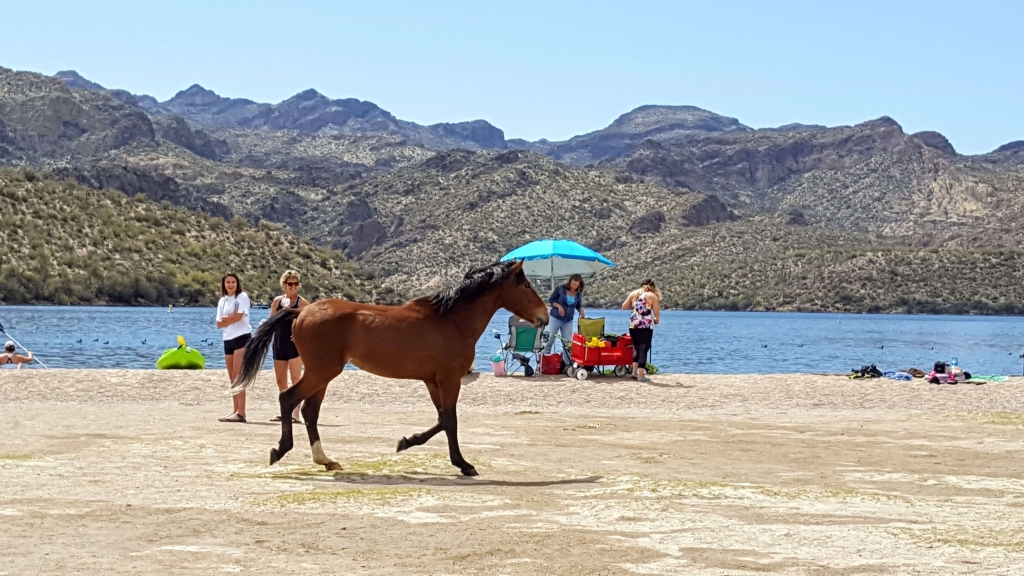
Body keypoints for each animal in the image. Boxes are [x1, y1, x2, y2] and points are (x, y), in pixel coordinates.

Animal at [231, 260, 549, 476]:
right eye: (526, 285)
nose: (544, 317)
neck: (450, 320)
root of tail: (301, 310)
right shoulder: (449, 380)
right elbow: (450, 421)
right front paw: (463, 464)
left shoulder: (433, 381)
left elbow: (441, 419)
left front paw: (406, 442)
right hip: (322, 371)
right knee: (289, 400)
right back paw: (280, 451)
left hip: (322, 373)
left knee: (309, 411)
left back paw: (326, 460)